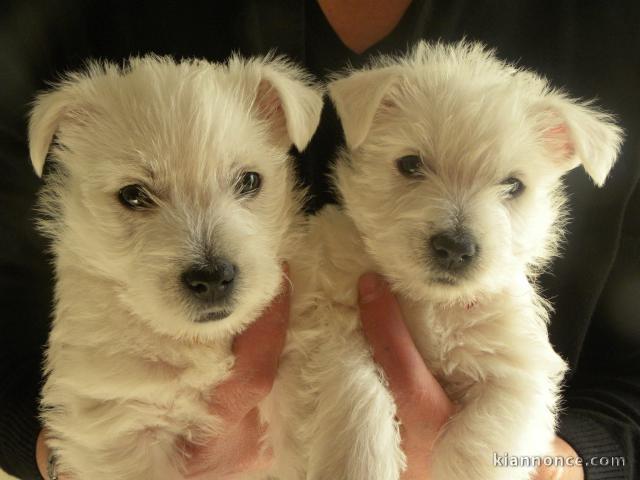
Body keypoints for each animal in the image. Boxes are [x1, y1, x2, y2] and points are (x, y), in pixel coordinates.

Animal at [27, 54, 322, 480]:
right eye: (133, 195)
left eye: (249, 180)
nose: (212, 278)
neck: (200, 343)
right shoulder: (120, 422)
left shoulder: (297, 372)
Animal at [284, 42, 620, 480]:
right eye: (410, 164)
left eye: (514, 185)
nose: (454, 247)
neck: (431, 303)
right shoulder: (333, 325)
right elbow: (356, 390)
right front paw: (361, 462)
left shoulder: (516, 373)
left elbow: (479, 443)